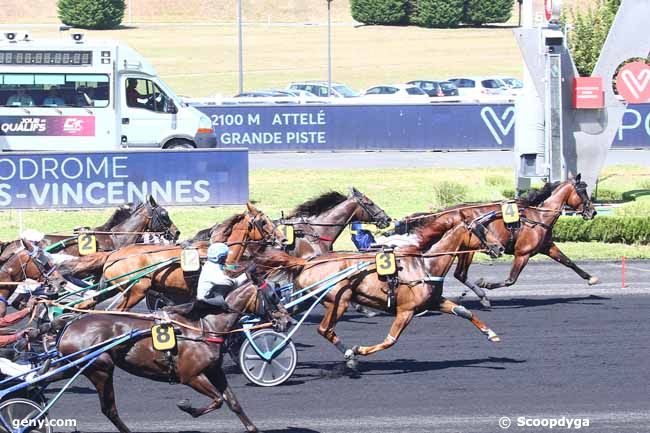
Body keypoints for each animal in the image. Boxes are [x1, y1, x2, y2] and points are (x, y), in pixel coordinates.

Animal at [57, 280, 290, 432]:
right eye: (272, 296)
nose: (287, 321)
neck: (205, 326)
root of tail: (69, 327)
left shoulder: (214, 370)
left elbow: (232, 402)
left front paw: (252, 427)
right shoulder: (191, 376)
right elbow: (217, 400)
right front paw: (187, 407)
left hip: (76, 367)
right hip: (100, 369)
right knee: (109, 410)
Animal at [253, 219, 502, 368]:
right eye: (481, 230)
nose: (499, 247)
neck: (424, 265)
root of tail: (307, 262)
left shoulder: (433, 301)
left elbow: (464, 311)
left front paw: (491, 334)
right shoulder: (406, 310)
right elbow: (391, 340)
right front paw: (359, 350)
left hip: (309, 299)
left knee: (287, 314)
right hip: (338, 300)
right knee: (324, 329)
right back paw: (348, 355)